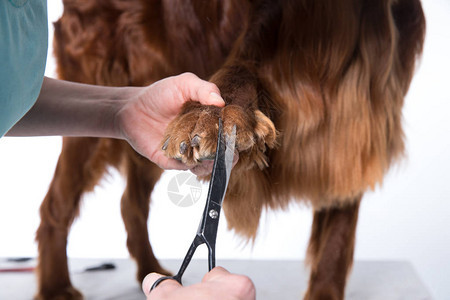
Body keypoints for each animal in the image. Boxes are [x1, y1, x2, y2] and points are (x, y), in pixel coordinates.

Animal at [36, 1, 426, 298]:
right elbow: (238, 73)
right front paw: (210, 116)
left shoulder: (356, 140)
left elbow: (336, 244)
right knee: (56, 205)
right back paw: (57, 287)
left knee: (130, 204)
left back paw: (149, 270)